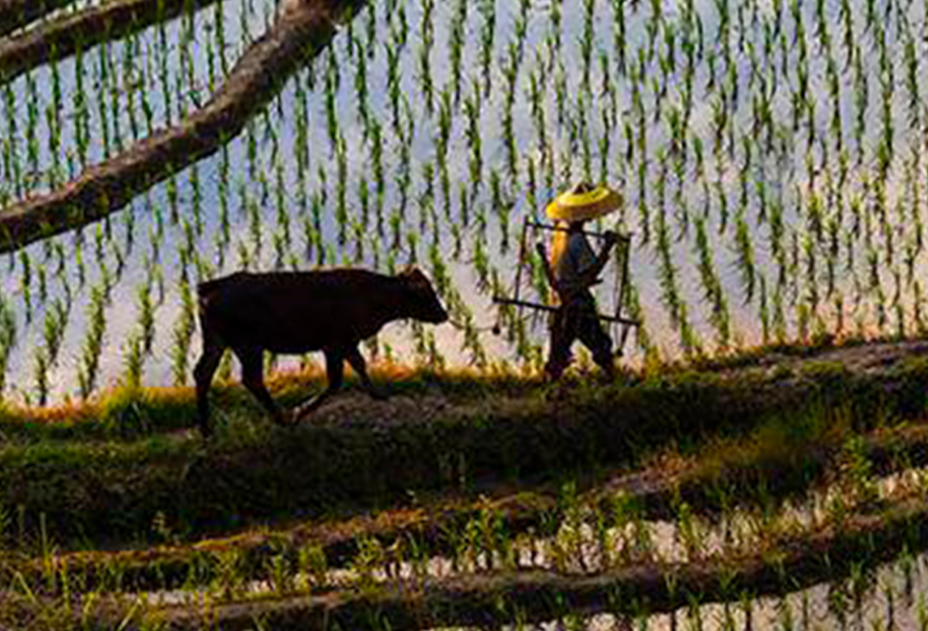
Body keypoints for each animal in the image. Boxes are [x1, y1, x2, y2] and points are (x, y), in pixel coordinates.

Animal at [194, 268, 448, 440]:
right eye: (426, 293)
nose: (444, 314)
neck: (372, 297)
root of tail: (210, 288)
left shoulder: (338, 345)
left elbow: (353, 368)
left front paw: (377, 394)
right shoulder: (339, 342)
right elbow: (341, 377)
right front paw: (299, 412)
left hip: (217, 340)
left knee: (202, 373)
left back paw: (207, 431)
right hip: (247, 344)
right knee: (251, 379)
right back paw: (282, 419)